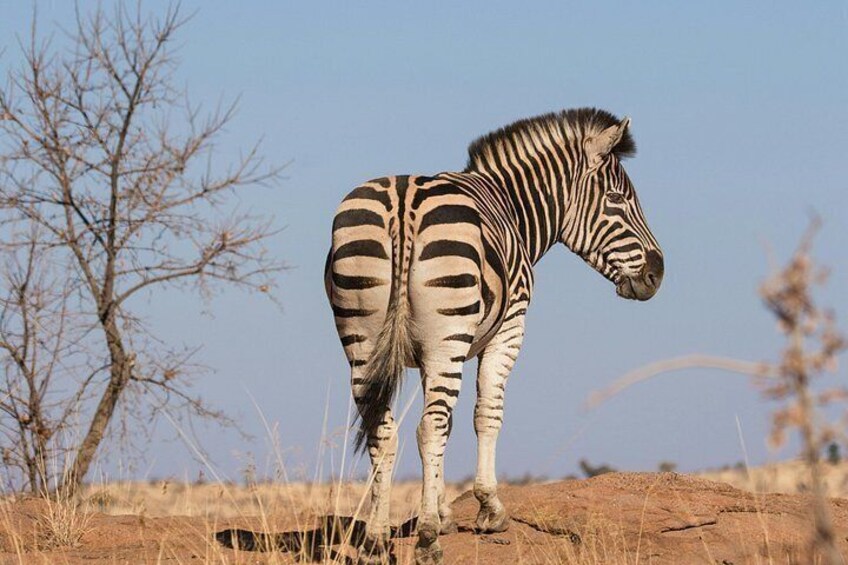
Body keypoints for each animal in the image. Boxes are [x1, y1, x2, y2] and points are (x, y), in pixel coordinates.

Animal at [325, 108, 663, 565]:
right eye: (617, 200)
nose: (657, 274)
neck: (512, 207)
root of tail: (403, 200)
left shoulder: (424, 353)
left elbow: (447, 426)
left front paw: (443, 514)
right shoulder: (509, 327)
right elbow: (486, 413)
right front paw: (487, 509)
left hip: (361, 337)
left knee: (384, 428)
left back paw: (376, 541)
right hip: (447, 335)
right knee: (429, 426)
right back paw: (427, 542)